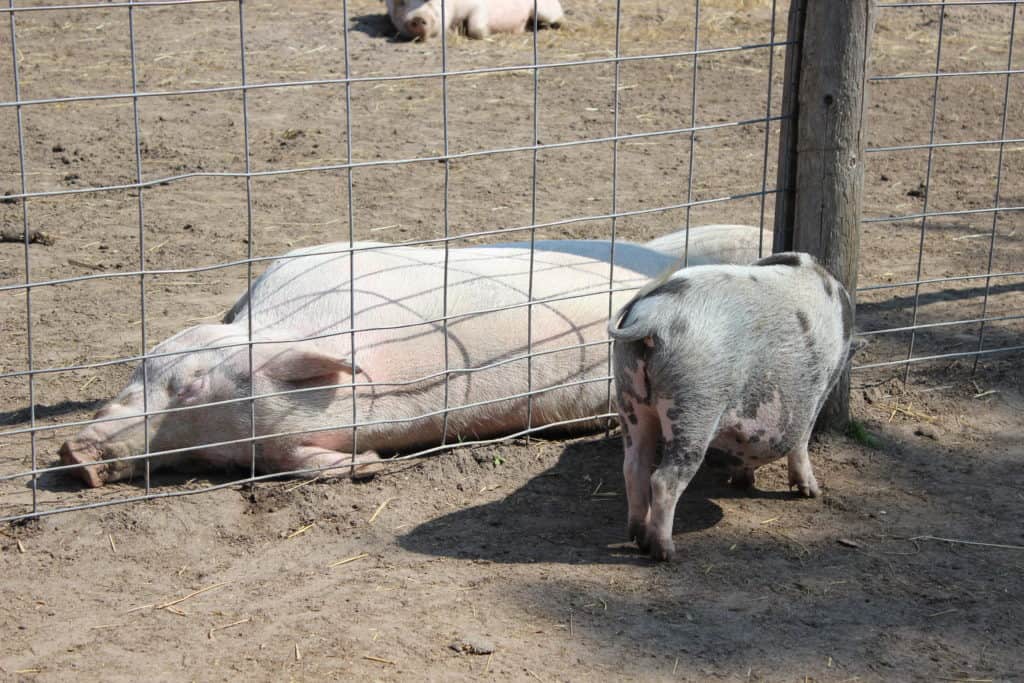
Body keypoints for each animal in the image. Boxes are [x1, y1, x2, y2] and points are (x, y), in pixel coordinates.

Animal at [606, 250, 856, 561]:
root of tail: (653, 319)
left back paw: (638, 538)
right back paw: (666, 552)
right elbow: (802, 441)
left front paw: (744, 481)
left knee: (634, 467)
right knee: (664, 480)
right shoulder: (821, 390)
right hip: (695, 404)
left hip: (628, 395)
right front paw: (812, 492)